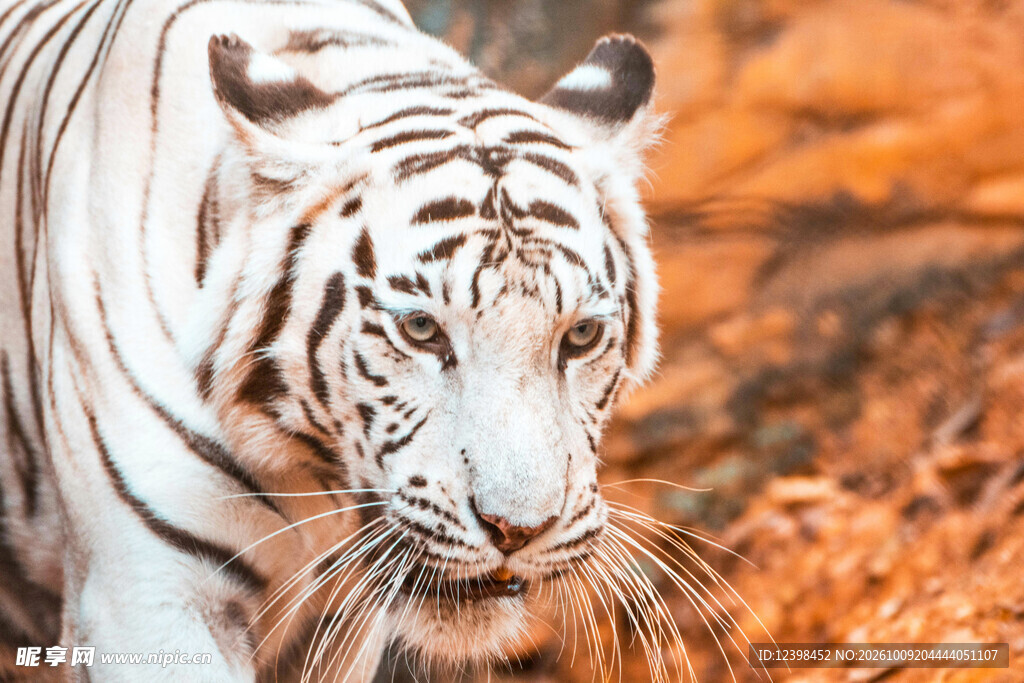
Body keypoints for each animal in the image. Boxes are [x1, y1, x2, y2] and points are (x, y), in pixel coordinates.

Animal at [0, 0, 673, 680]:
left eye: (581, 335)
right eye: (421, 329)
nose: (517, 530)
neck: (313, 473)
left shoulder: (345, 626)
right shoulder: (146, 594)